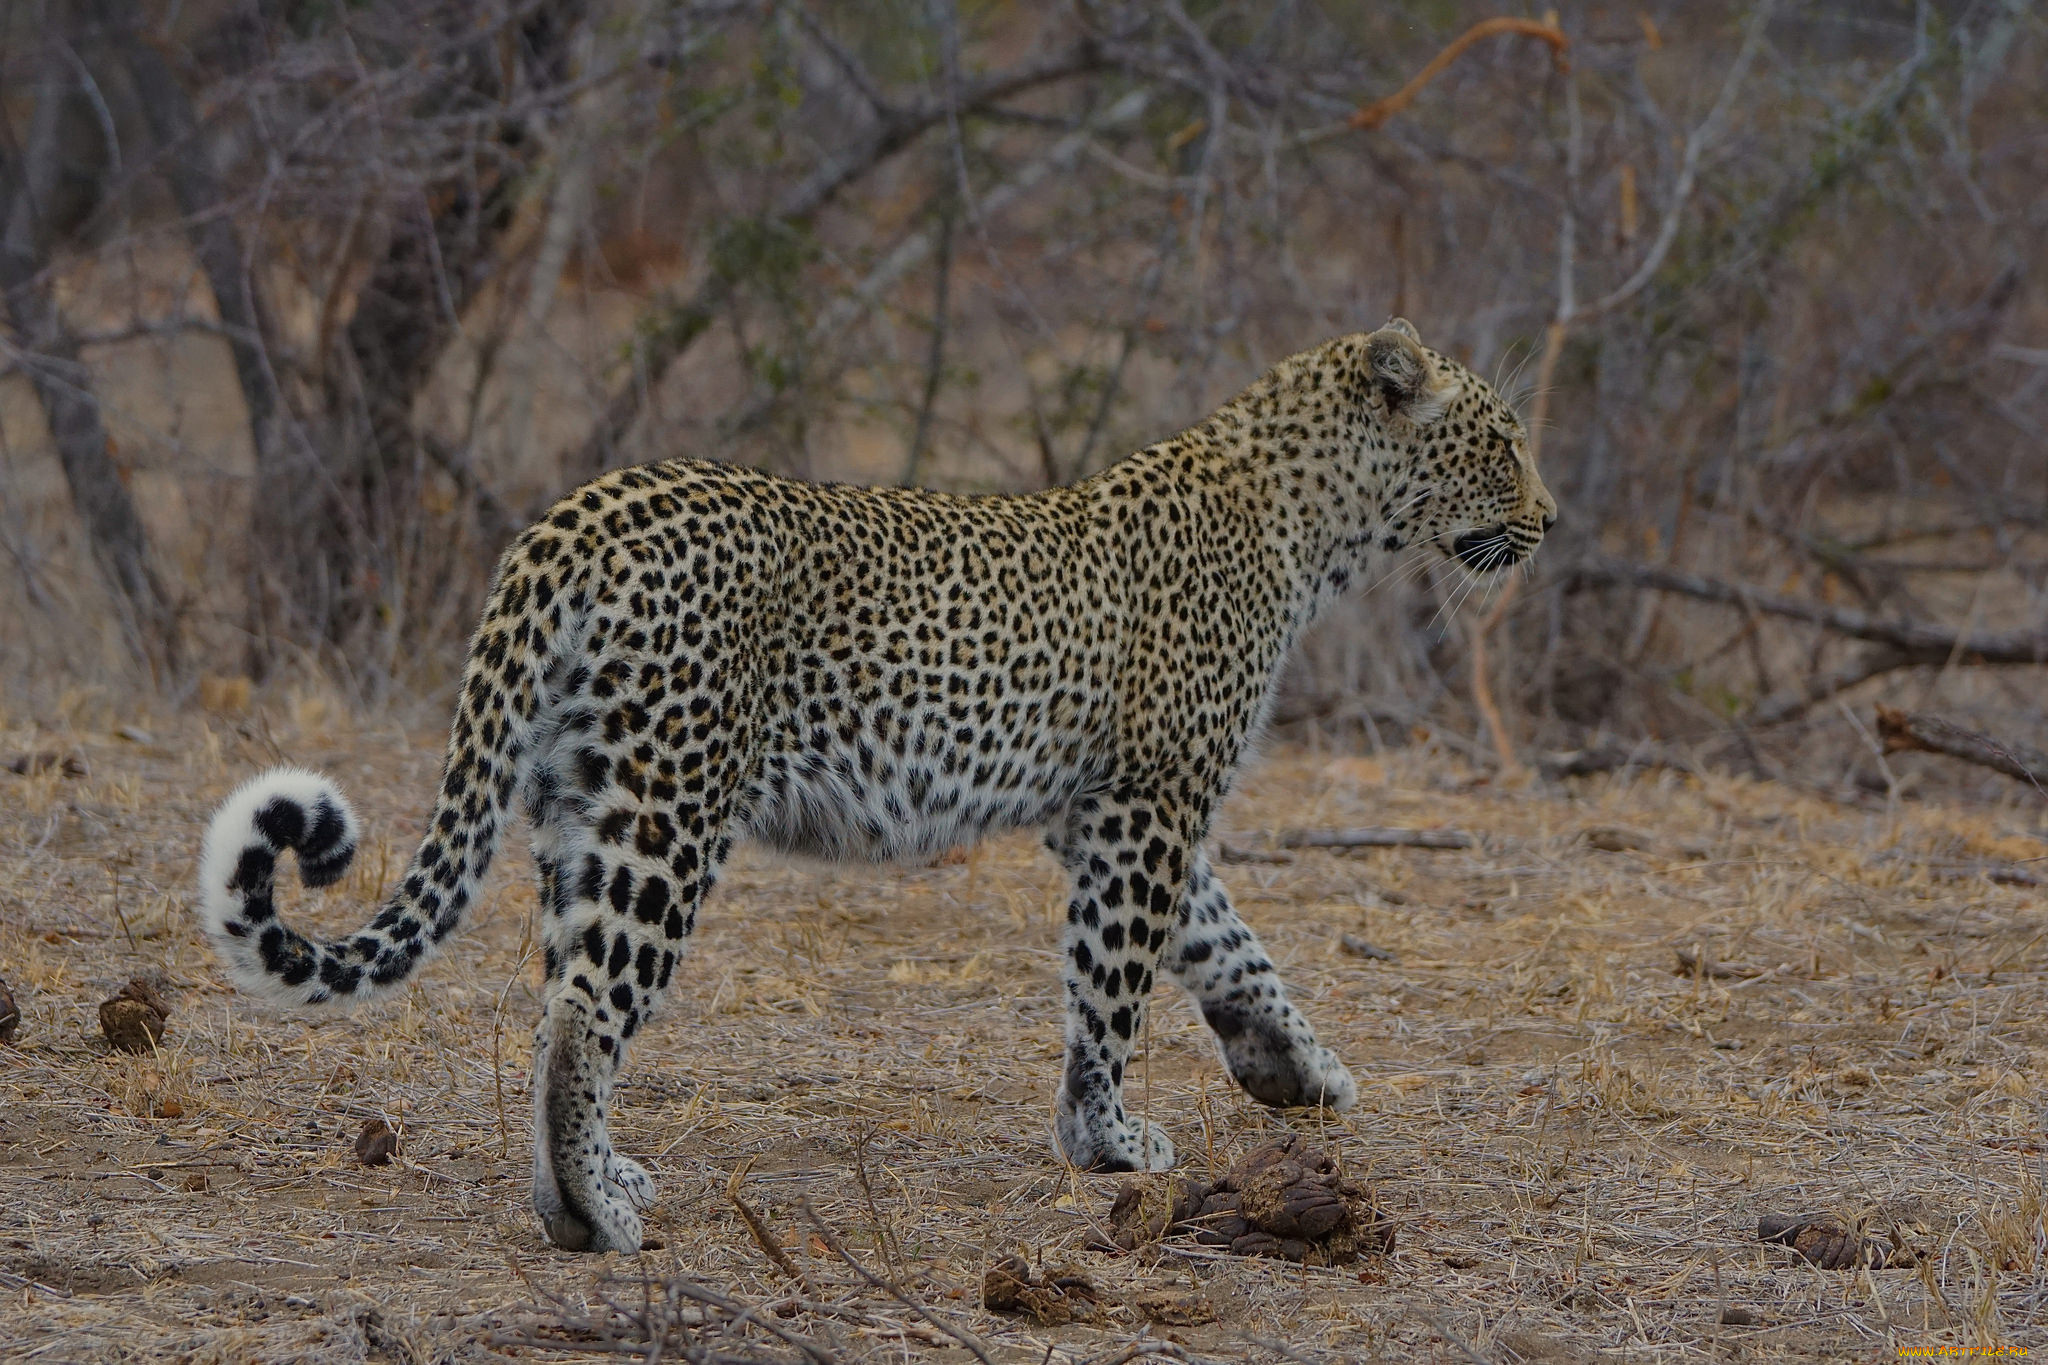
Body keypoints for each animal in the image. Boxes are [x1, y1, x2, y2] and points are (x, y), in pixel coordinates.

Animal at [203, 315, 1548, 1252]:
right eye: (1503, 442)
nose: (1547, 517)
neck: (1317, 532)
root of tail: (577, 513)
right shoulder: (1147, 808)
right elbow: (1114, 988)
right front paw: (1106, 1142)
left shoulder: (1103, 815)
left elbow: (1231, 948)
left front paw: (1295, 1071)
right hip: (669, 811)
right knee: (586, 1012)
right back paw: (593, 1218)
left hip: (577, 799)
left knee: (552, 1009)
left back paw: (590, 1179)